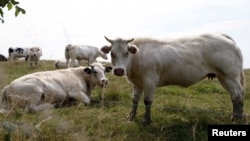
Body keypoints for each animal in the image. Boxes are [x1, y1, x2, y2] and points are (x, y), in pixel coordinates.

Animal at [100, 32, 245, 124]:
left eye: (126, 53)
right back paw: (235, 117)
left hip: (229, 76)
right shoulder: (137, 83)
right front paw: (131, 117)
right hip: (225, 77)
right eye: (112, 53)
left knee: (237, 95)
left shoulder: (149, 81)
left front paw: (146, 120)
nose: (119, 70)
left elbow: (147, 101)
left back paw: (237, 119)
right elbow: (135, 100)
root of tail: (223, 36)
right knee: (236, 96)